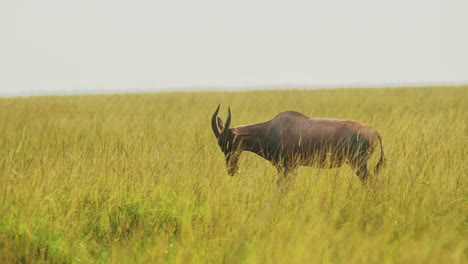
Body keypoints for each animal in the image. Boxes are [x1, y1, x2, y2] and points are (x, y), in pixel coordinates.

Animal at [211, 104, 384, 182]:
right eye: (220, 145)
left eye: (231, 142)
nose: (232, 170)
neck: (270, 128)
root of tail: (375, 131)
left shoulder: (288, 167)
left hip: (359, 164)